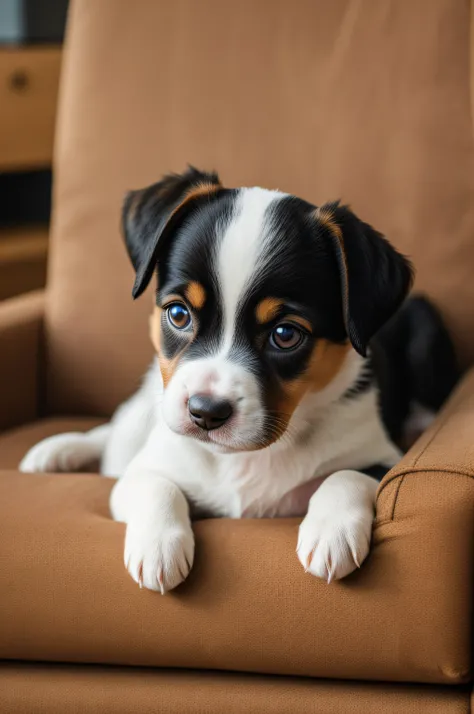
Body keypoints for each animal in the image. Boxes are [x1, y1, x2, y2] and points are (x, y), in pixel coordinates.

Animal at [20, 165, 458, 588]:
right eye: (178, 313)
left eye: (286, 334)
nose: (205, 413)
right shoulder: (142, 470)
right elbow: (155, 484)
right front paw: (158, 546)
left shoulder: (382, 456)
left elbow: (346, 474)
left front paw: (331, 532)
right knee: (115, 439)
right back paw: (59, 450)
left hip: (426, 331)